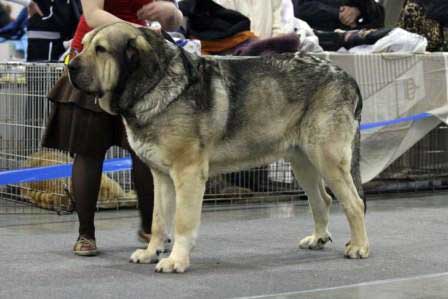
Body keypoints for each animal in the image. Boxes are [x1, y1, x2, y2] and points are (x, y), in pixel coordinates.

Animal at [66, 22, 368, 274]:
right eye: (84, 46)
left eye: (101, 49)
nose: (70, 67)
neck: (154, 85)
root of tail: (347, 77)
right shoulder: (161, 177)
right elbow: (158, 220)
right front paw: (151, 252)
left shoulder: (188, 174)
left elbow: (182, 221)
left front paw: (176, 260)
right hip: (302, 162)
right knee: (322, 200)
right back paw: (318, 238)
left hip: (327, 158)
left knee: (354, 203)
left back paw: (359, 246)